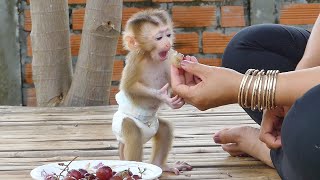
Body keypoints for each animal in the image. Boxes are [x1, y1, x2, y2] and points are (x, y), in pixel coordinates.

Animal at [112, 8, 191, 174]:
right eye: (159, 37)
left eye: (168, 35)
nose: (167, 43)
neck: (150, 57)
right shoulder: (136, 60)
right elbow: (129, 87)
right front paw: (161, 96)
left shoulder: (168, 57)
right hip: (120, 127)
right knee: (132, 132)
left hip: (154, 126)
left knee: (165, 129)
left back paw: (160, 165)